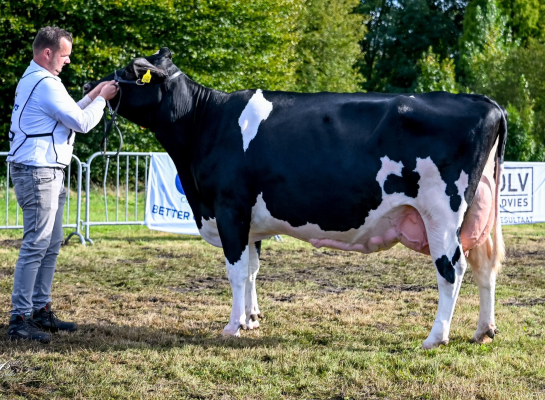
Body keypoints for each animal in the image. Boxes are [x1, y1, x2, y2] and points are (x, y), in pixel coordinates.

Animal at [85, 46, 506, 346]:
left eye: (128, 71)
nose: (92, 86)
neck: (206, 121)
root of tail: (484, 101)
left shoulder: (229, 207)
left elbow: (235, 271)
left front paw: (232, 326)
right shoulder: (249, 219)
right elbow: (253, 270)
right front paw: (252, 319)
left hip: (441, 212)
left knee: (452, 269)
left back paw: (436, 337)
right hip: (479, 212)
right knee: (485, 266)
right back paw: (482, 331)